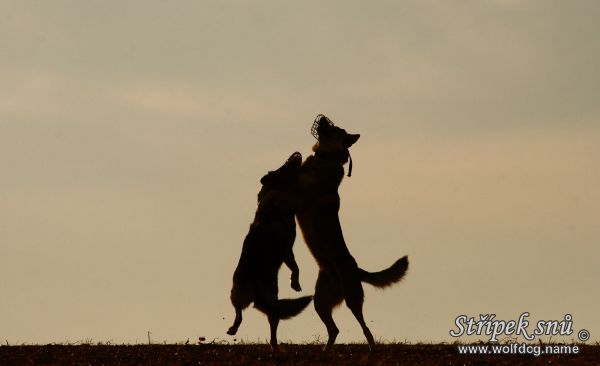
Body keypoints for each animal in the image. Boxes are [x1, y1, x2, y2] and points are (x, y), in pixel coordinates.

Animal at [227, 151, 312, 348]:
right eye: (284, 166)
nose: (296, 153)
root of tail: (256, 289)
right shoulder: (287, 250)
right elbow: (296, 267)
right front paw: (295, 283)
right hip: (244, 294)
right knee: (251, 316)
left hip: (239, 294)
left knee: (246, 315)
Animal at [296, 115, 408, 352]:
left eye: (336, 129)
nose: (322, 118)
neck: (325, 158)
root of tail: (357, 270)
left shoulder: (303, 194)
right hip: (320, 301)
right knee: (334, 329)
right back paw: (326, 351)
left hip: (352, 298)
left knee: (365, 328)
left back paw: (372, 348)